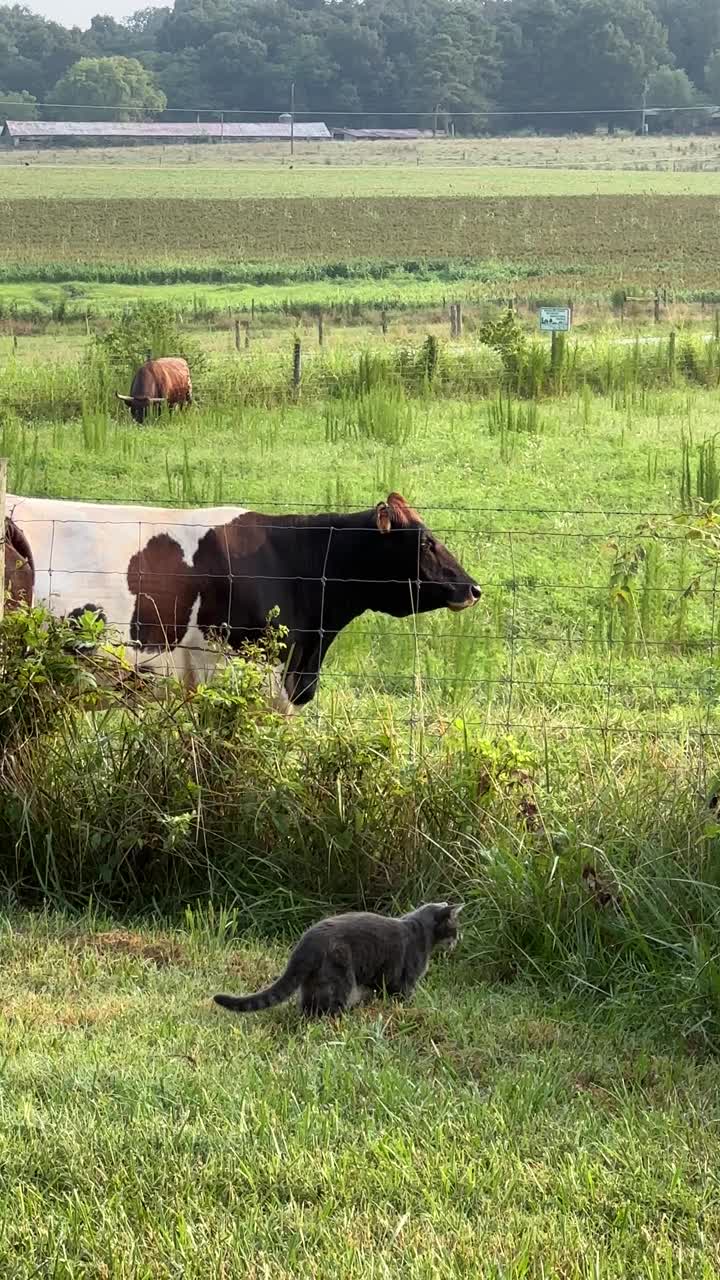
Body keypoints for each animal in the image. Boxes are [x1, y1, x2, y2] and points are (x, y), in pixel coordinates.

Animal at [212, 901, 461, 1018]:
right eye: (456, 927)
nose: (459, 939)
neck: (422, 932)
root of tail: (306, 943)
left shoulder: (381, 980)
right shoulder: (406, 979)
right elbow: (404, 996)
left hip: (314, 980)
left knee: (308, 1005)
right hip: (340, 976)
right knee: (328, 1007)